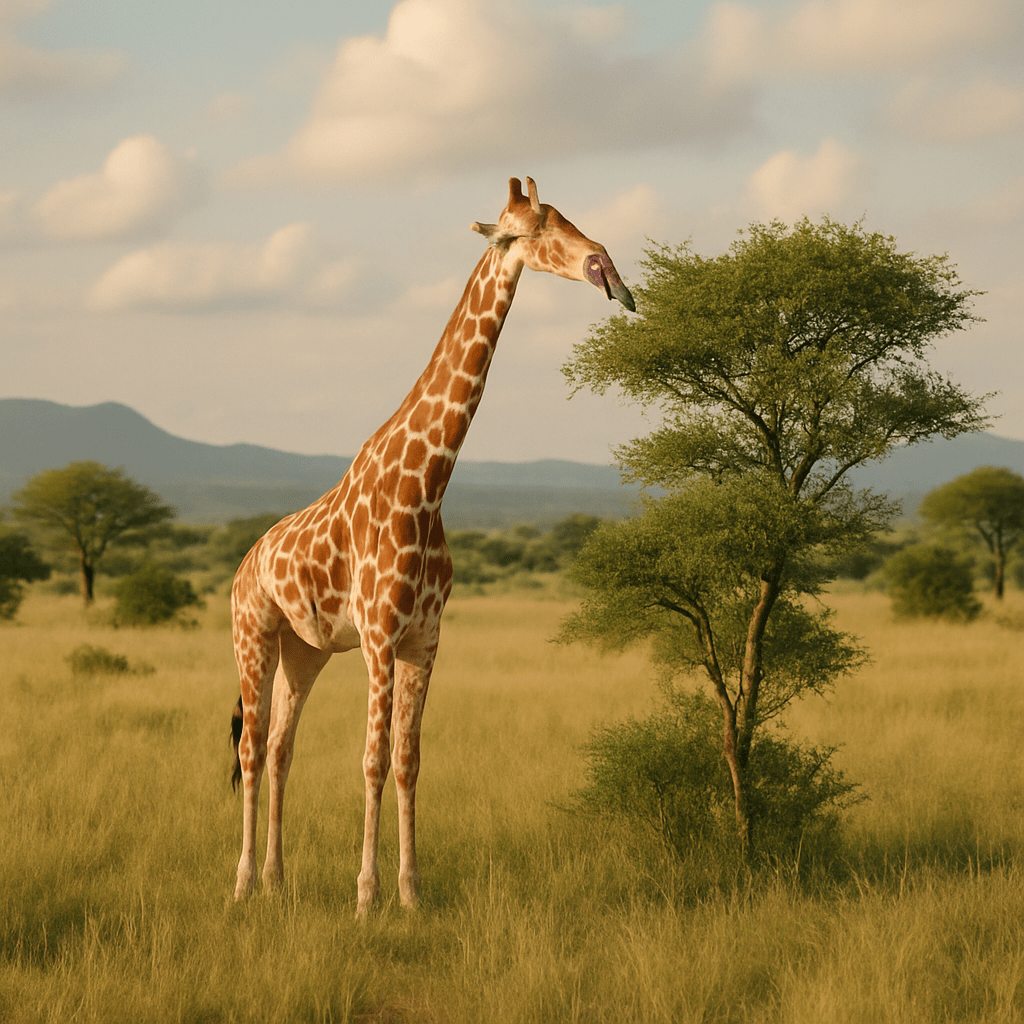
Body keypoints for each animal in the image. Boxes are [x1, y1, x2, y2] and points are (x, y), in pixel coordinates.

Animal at [229, 177, 635, 914]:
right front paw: (366, 897)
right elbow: (371, 759)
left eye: (564, 217)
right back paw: (243, 884)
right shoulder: (379, 637)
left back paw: (276, 879)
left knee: (279, 747)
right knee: (249, 750)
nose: (605, 264)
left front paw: (411, 894)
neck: (427, 483)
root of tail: (245, 563)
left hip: (305, 650)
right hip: (253, 632)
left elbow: (408, 761)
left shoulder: (425, 639)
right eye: (533, 230)